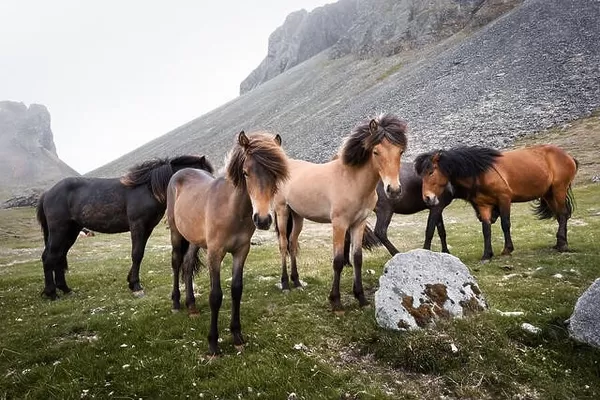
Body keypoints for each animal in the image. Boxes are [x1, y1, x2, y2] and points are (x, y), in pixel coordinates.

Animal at [35, 155, 213, 298]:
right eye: (203, 174)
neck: (148, 189)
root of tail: (47, 193)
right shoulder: (137, 226)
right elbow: (136, 254)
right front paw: (136, 286)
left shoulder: (147, 228)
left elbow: (140, 254)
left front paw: (131, 281)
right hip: (60, 230)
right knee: (49, 257)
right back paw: (51, 293)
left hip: (70, 231)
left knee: (59, 256)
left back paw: (65, 289)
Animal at [168, 132, 290, 356]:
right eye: (246, 172)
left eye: (276, 173)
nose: (262, 219)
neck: (231, 209)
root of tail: (180, 173)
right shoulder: (215, 253)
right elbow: (216, 296)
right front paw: (213, 344)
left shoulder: (241, 251)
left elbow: (236, 289)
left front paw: (237, 335)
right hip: (176, 234)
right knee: (176, 262)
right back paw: (176, 302)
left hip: (194, 239)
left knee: (187, 265)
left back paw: (192, 306)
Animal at [414, 145, 580, 260]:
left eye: (431, 172)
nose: (427, 198)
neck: (481, 172)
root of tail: (568, 156)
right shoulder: (484, 206)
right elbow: (486, 229)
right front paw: (487, 254)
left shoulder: (504, 199)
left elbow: (505, 224)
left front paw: (507, 249)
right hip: (549, 194)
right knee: (560, 216)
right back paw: (560, 243)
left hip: (559, 190)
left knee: (563, 214)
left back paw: (563, 244)